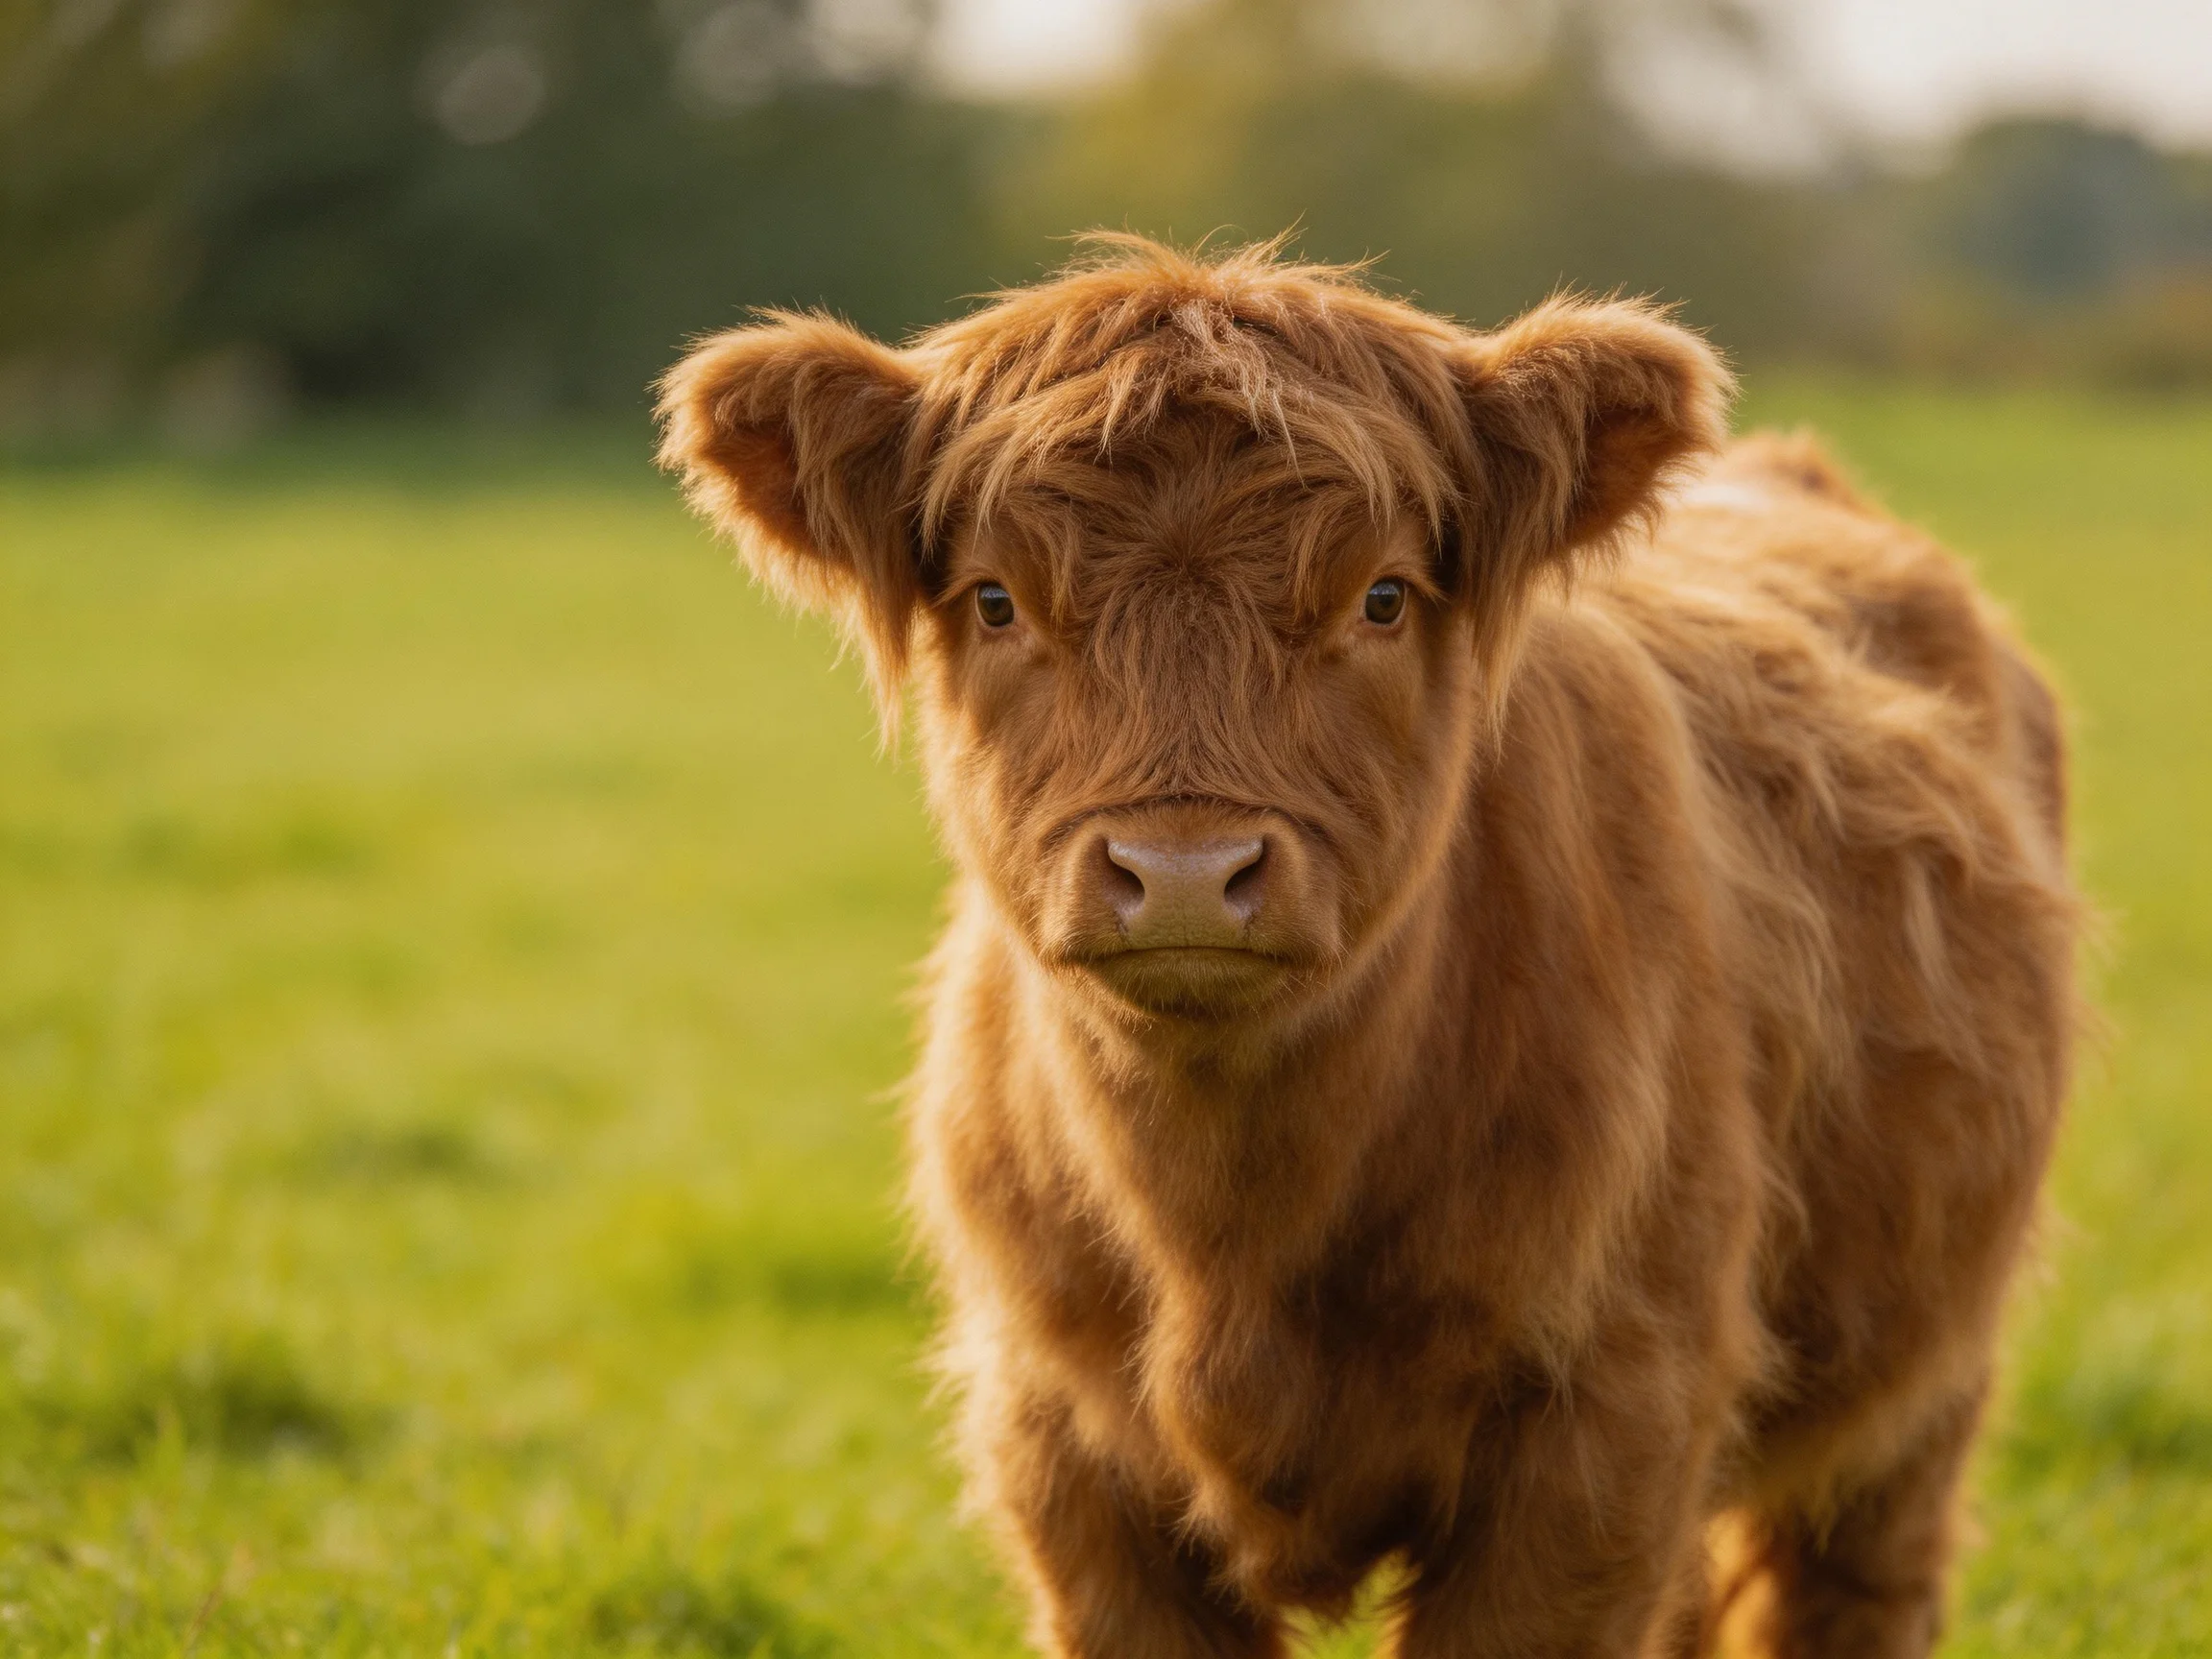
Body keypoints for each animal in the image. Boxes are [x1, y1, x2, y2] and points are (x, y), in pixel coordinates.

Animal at [658, 235, 2079, 1659]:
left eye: (1383, 597)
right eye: (996, 601)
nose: (1184, 876)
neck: (1231, 1235)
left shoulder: (1613, 1421)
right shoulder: (1056, 1437)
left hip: (1923, 1375)